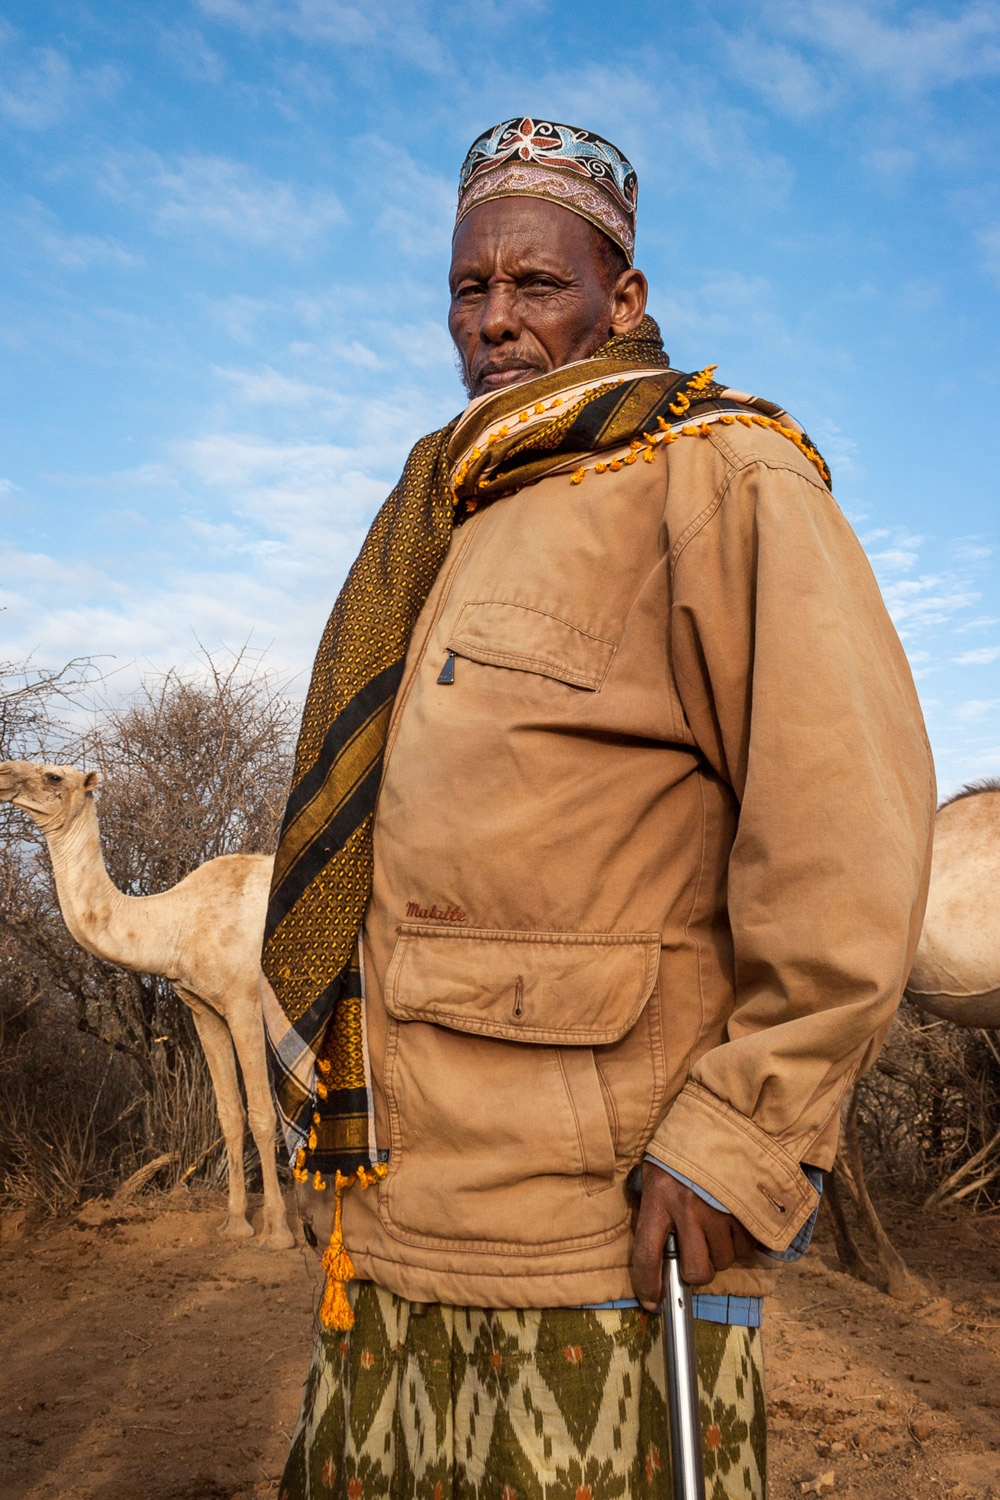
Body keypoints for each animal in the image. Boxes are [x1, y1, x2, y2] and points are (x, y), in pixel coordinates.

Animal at [0, 756, 295, 1248]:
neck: (177, 923)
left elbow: (260, 1113)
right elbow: (229, 1113)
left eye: (53, 775)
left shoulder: (244, 1002)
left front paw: (276, 1233)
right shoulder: (203, 1007)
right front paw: (235, 1224)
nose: (3, 772)